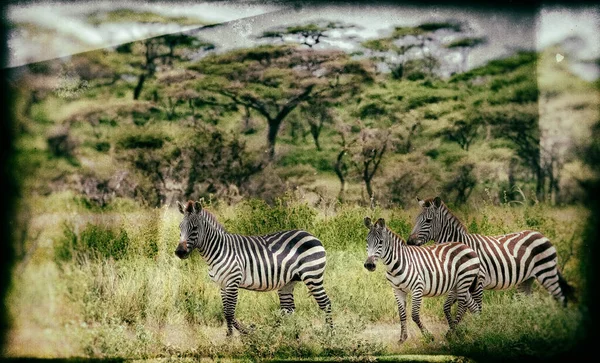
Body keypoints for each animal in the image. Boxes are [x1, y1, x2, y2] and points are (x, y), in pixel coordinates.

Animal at [173, 200, 332, 336]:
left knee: (326, 303)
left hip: (313, 276)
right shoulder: (223, 285)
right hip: (288, 282)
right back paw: (290, 336)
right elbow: (227, 312)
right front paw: (240, 332)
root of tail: (312, 235)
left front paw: (231, 339)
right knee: (289, 310)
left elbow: (229, 312)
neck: (219, 249)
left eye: (194, 228)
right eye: (180, 227)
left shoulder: (232, 282)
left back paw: (329, 336)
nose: (179, 252)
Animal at [406, 198, 576, 308]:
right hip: (527, 279)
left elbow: (476, 308)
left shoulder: (478, 282)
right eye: (415, 220)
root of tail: (541, 235)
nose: (409, 242)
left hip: (546, 273)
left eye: (428, 221)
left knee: (561, 298)